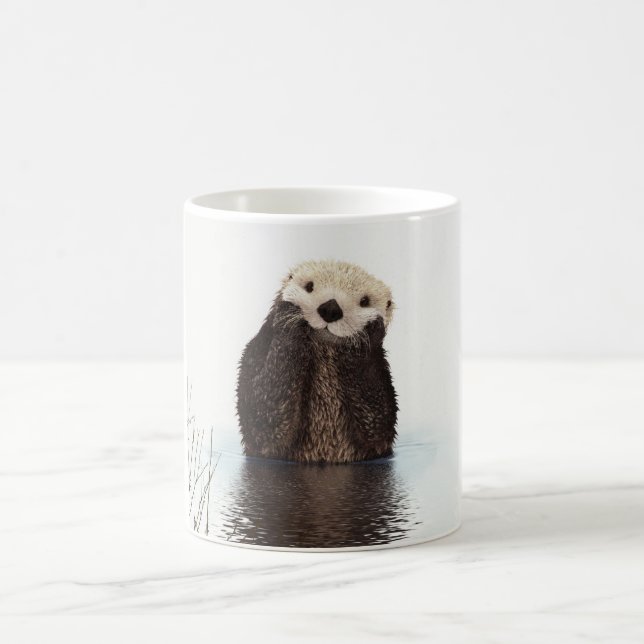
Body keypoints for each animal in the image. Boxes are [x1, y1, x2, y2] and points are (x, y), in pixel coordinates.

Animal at [236, 259, 398, 464]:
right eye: (309, 286)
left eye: (365, 301)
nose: (331, 308)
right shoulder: (255, 353)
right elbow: (261, 415)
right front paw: (288, 315)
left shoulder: (381, 374)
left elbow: (378, 422)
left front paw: (368, 332)